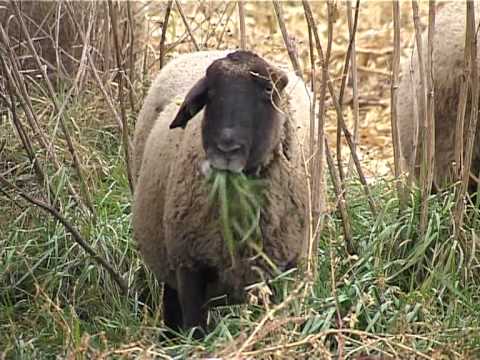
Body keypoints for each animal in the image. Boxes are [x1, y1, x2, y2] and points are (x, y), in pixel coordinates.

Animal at [132, 50, 312, 334]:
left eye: (267, 90)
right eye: (210, 93)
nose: (226, 148)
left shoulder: (284, 269)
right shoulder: (189, 265)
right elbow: (194, 330)